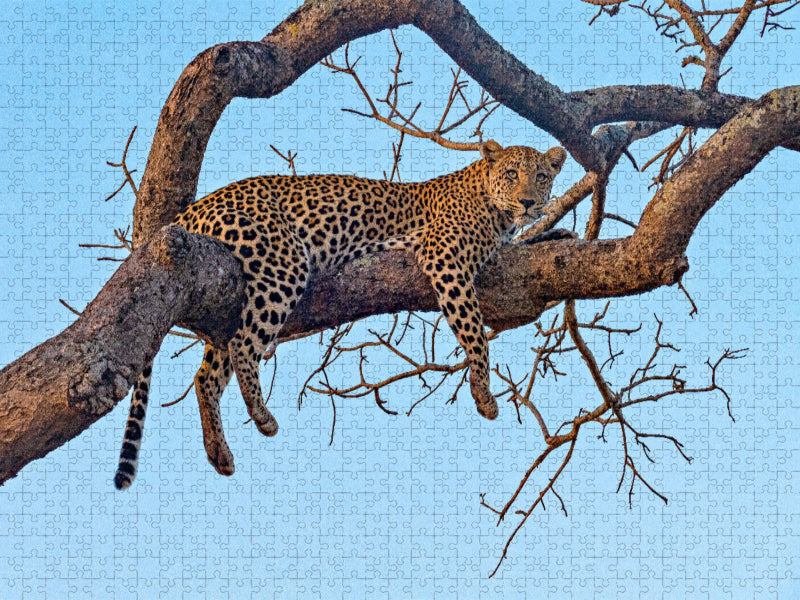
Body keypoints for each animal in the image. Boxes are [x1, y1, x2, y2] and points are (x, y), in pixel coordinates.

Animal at [113, 140, 566, 489]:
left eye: (542, 177)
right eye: (511, 173)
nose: (528, 201)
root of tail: (190, 210)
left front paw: (557, 231)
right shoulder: (445, 257)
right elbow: (474, 330)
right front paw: (484, 394)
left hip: (226, 304)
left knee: (206, 375)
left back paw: (219, 451)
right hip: (283, 262)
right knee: (244, 344)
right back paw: (262, 416)